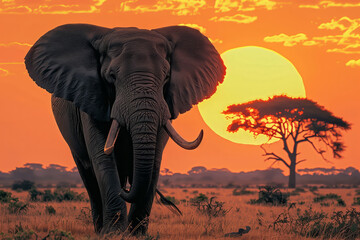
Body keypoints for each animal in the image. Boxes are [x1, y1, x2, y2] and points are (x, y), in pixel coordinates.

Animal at [25, 23, 226, 234]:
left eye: (166, 77)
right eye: (111, 77)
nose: (125, 191)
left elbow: (155, 162)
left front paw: (137, 234)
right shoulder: (91, 98)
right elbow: (102, 157)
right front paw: (113, 233)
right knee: (89, 177)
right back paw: (100, 230)